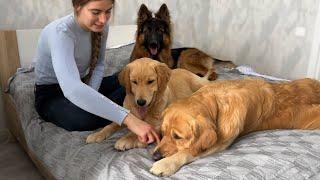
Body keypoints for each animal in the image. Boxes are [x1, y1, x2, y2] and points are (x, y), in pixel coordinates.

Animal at [151, 77, 320, 176]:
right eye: (163, 132)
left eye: (177, 137)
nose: (155, 156)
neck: (216, 101)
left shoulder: (220, 142)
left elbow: (186, 151)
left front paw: (165, 164)